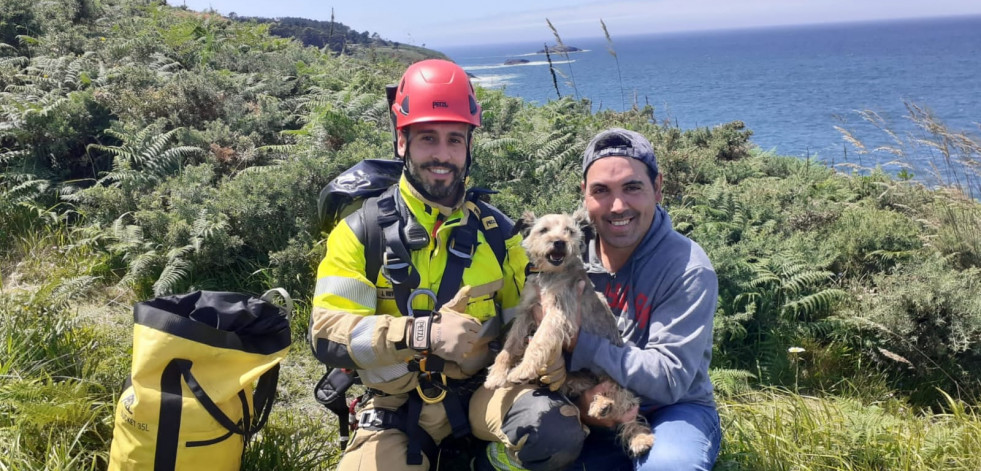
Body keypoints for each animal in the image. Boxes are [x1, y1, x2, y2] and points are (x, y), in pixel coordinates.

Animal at [486, 212, 656, 460]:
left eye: (570, 231)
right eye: (544, 230)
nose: (559, 242)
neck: (550, 275)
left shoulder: (558, 314)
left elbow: (537, 342)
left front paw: (523, 369)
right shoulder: (527, 311)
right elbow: (512, 344)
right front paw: (497, 374)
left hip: (615, 376)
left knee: (624, 399)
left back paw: (616, 417)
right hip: (576, 381)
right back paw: (600, 405)